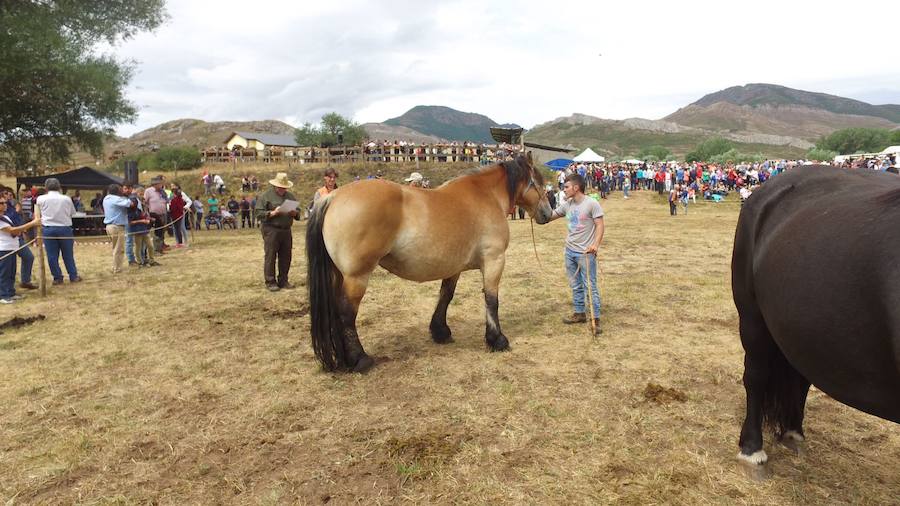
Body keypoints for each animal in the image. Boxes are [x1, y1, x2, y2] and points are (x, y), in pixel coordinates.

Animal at [306, 153, 552, 372]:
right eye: (539, 183)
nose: (548, 214)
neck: (486, 195)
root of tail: (332, 197)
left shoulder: (454, 267)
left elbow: (446, 296)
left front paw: (440, 331)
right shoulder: (494, 259)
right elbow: (492, 300)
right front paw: (497, 339)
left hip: (339, 275)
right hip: (357, 276)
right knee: (346, 314)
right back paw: (360, 359)